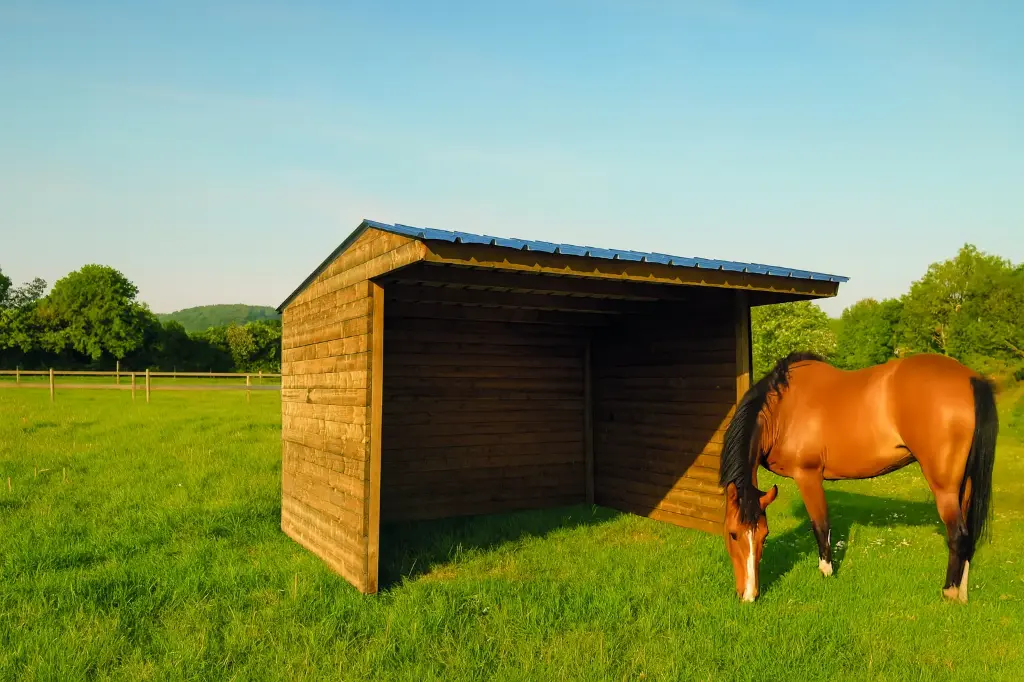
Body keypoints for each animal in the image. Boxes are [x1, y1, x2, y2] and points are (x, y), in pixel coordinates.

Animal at [719, 351, 997, 603]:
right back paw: (962, 593)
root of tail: (971, 378)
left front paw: (826, 573)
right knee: (968, 537)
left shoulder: (807, 475)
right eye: (733, 534)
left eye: (763, 535)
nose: (748, 595)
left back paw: (949, 592)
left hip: (945, 488)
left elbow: (820, 525)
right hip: (965, 486)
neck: (783, 408)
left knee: (958, 535)